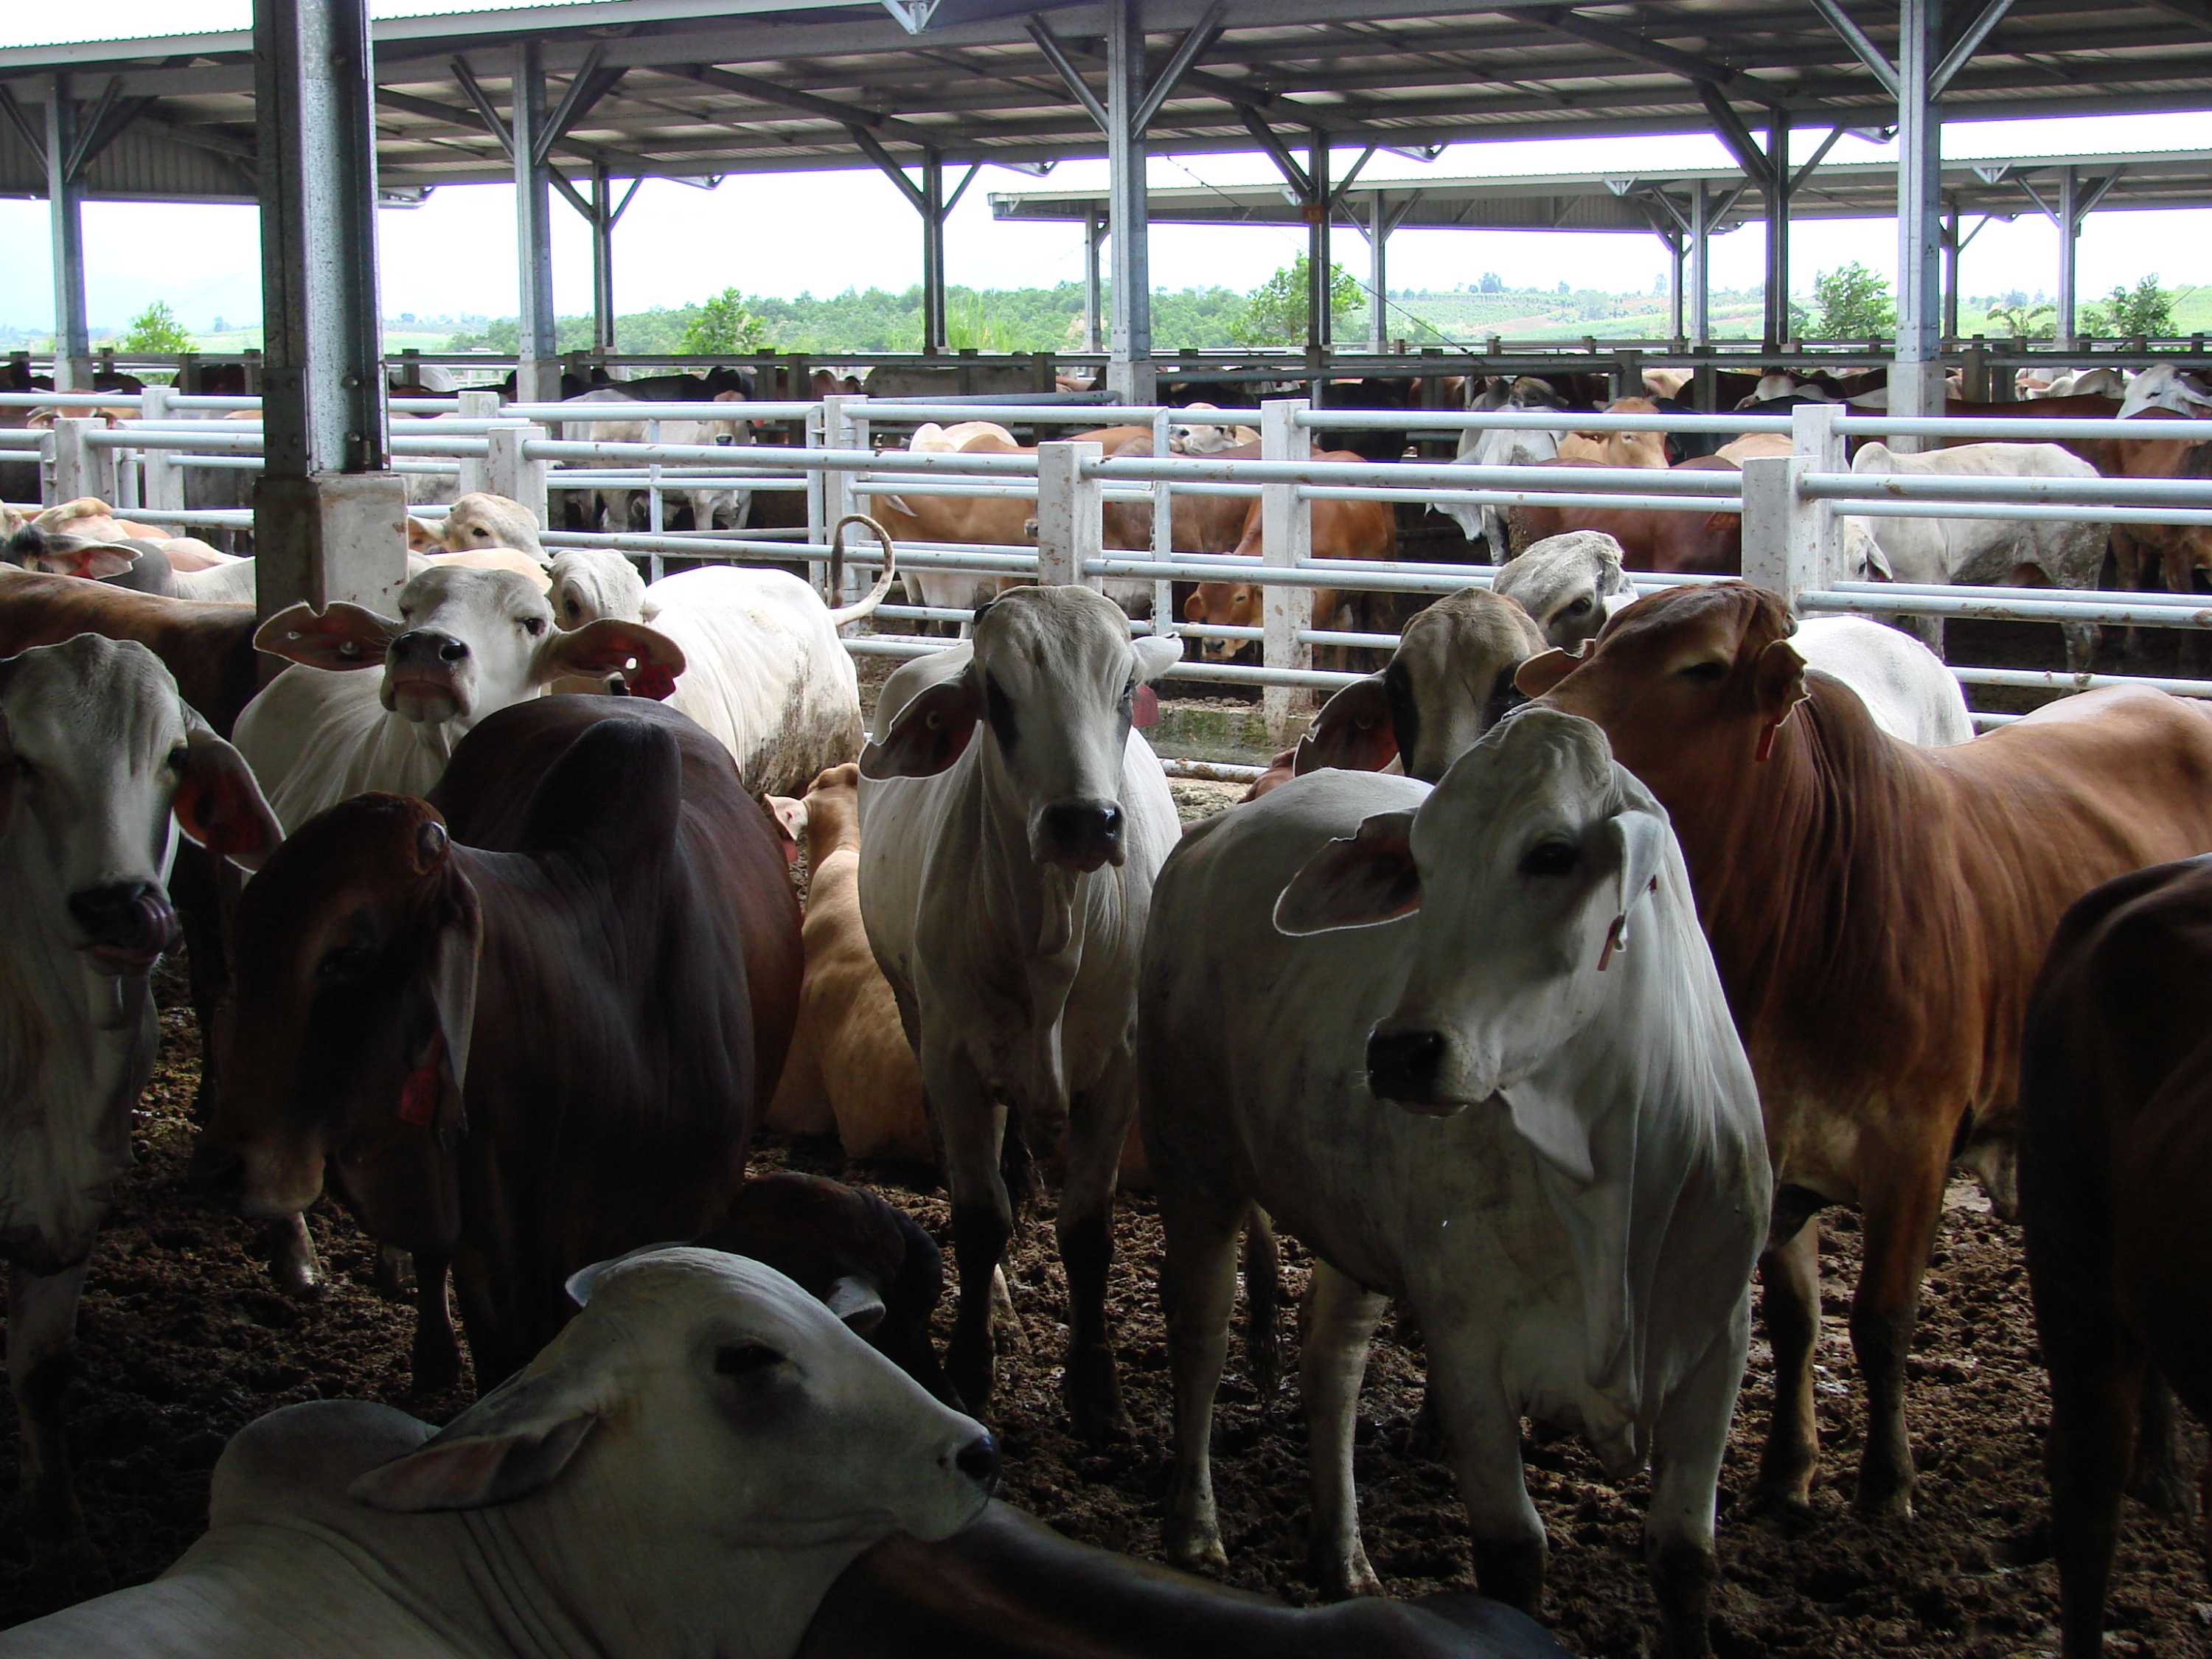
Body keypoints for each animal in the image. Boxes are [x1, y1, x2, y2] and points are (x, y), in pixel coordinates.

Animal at [0, 636, 282, 1544]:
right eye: (20, 759)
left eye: (175, 756)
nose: (120, 906)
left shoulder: (75, 1200)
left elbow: (43, 1368)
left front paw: (56, 1520)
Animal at [857, 586, 1182, 1431]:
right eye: (997, 696)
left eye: (1124, 689)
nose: (1086, 822)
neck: (1054, 938)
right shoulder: (955, 1061)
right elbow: (979, 1218)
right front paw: (971, 1362)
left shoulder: (1118, 1070)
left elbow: (1088, 1229)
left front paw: (1096, 1385)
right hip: (916, 1014)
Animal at [1141, 709, 1769, 1655]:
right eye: (1424, 865)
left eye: (1553, 852)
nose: (1400, 1051)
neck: (1606, 1177)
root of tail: (1213, 833)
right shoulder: (1468, 1339)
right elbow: (1512, 1551)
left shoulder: (1717, 1345)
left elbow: (1684, 1556)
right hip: (1196, 1160)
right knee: (1202, 1334)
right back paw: (1195, 1530)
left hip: (1352, 1223)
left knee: (1334, 1364)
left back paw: (1344, 1559)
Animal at [1519, 583, 2212, 1525]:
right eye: (1598, 643)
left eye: (1701, 668)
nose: (1537, 724)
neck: (1803, 915)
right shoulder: (1775, 1142)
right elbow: (1795, 1316)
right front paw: (1787, 1469)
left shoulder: (1914, 1149)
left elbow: (1883, 1319)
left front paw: (1887, 1483)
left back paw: (2163, 1468)